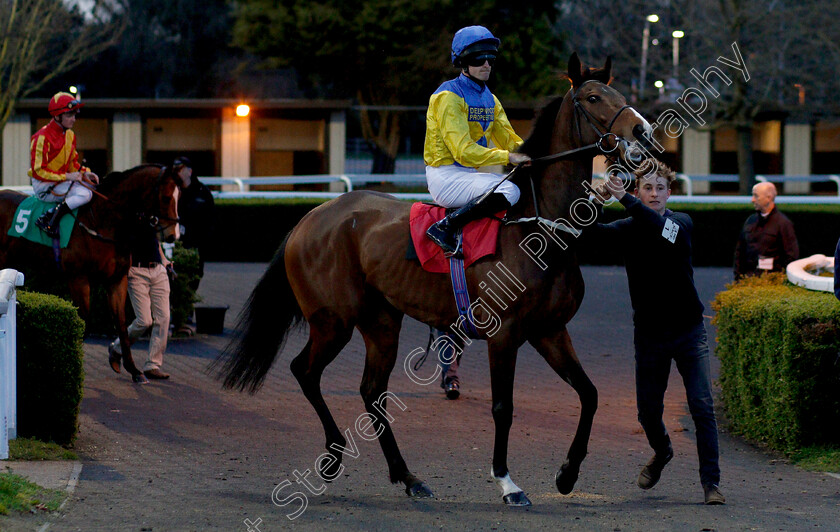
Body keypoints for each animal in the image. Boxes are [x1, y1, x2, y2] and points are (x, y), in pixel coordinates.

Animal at [0, 164, 182, 384]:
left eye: (179, 196)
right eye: (166, 197)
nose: (173, 234)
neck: (103, 223)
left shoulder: (117, 280)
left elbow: (121, 323)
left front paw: (133, 369)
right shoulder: (78, 278)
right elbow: (83, 320)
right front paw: (72, 365)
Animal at [220, 55, 652, 508]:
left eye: (620, 93)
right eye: (593, 97)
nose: (643, 131)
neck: (538, 228)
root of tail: (309, 218)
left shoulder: (550, 330)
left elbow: (589, 394)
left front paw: (567, 474)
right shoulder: (505, 334)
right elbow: (503, 408)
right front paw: (507, 482)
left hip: (381, 322)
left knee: (371, 391)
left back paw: (409, 477)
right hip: (332, 321)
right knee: (304, 371)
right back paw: (335, 456)